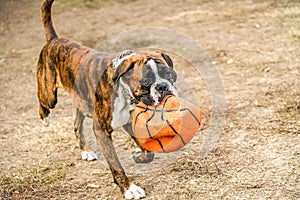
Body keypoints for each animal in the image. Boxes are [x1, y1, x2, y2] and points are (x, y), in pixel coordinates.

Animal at [37, 0, 178, 198]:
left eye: (169, 75)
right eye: (146, 82)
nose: (162, 86)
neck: (122, 87)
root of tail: (54, 40)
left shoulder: (127, 120)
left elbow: (146, 150)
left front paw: (139, 157)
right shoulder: (102, 130)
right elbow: (115, 164)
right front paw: (129, 188)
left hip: (81, 102)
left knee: (77, 124)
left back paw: (86, 151)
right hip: (49, 94)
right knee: (44, 104)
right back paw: (46, 118)